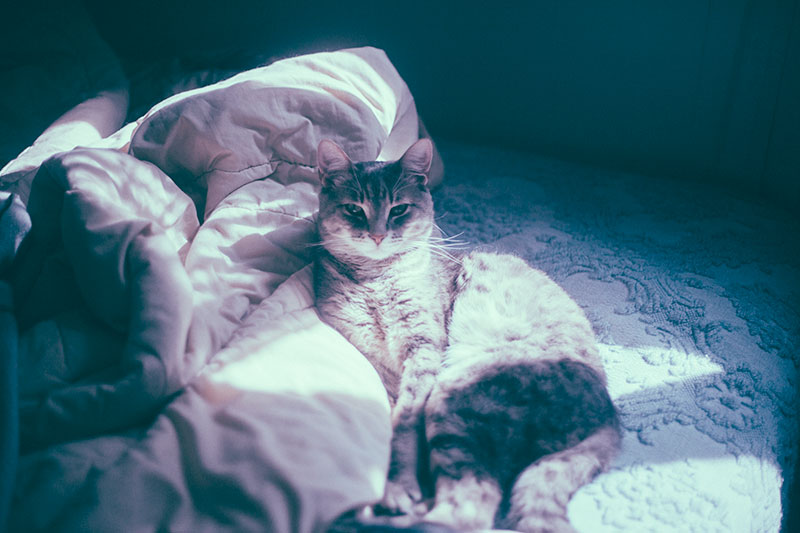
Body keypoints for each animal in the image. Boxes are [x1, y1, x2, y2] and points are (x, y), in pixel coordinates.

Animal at [312, 139, 620, 528]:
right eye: (354, 209)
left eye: (399, 210)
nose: (378, 235)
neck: (375, 279)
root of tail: (609, 419)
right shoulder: (372, 358)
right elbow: (393, 411)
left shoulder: (423, 350)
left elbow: (403, 428)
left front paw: (397, 487)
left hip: (456, 398)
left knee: (467, 512)